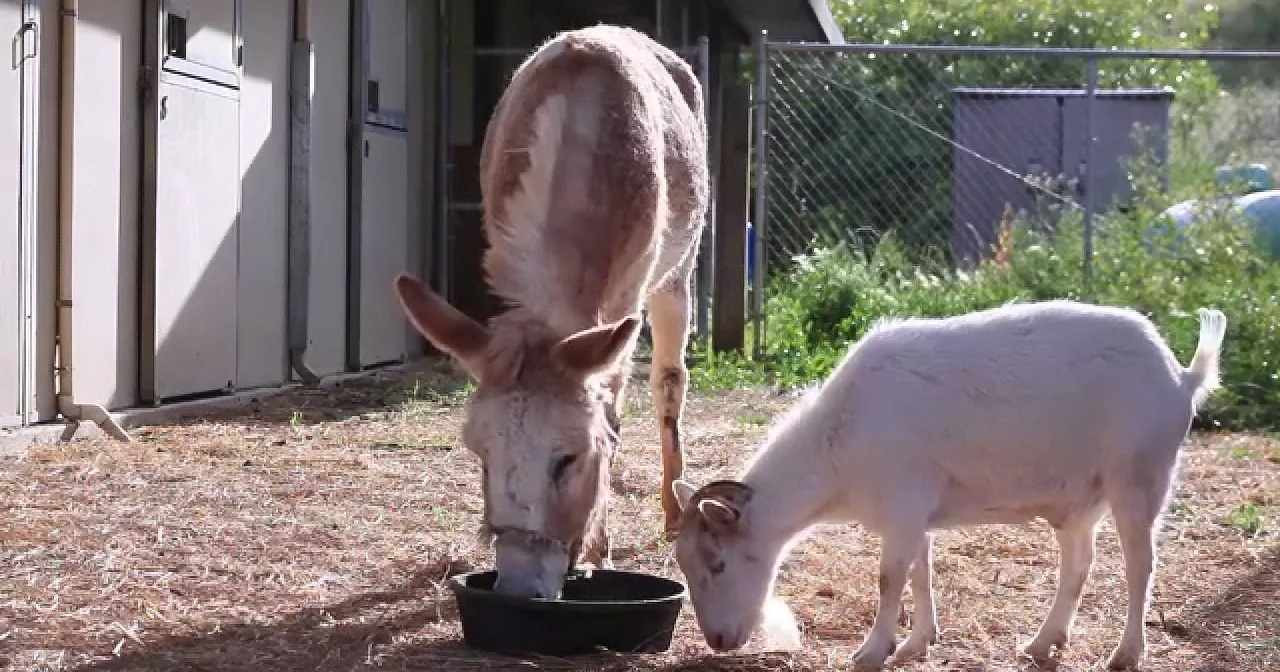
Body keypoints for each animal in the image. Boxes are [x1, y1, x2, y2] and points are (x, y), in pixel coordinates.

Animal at [672, 299, 1227, 670]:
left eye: (718, 563)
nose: (717, 640)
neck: (840, 440)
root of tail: (1182, 377)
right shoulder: (915, 514)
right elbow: (921, 572)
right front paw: (918, 643)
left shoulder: (903, 504)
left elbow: (890, 578)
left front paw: (872, 650)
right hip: (1081, 498)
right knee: (1078, 564)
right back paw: (1042, 643)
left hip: (1139, 474)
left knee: (1140, 564)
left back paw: (1125, 653)